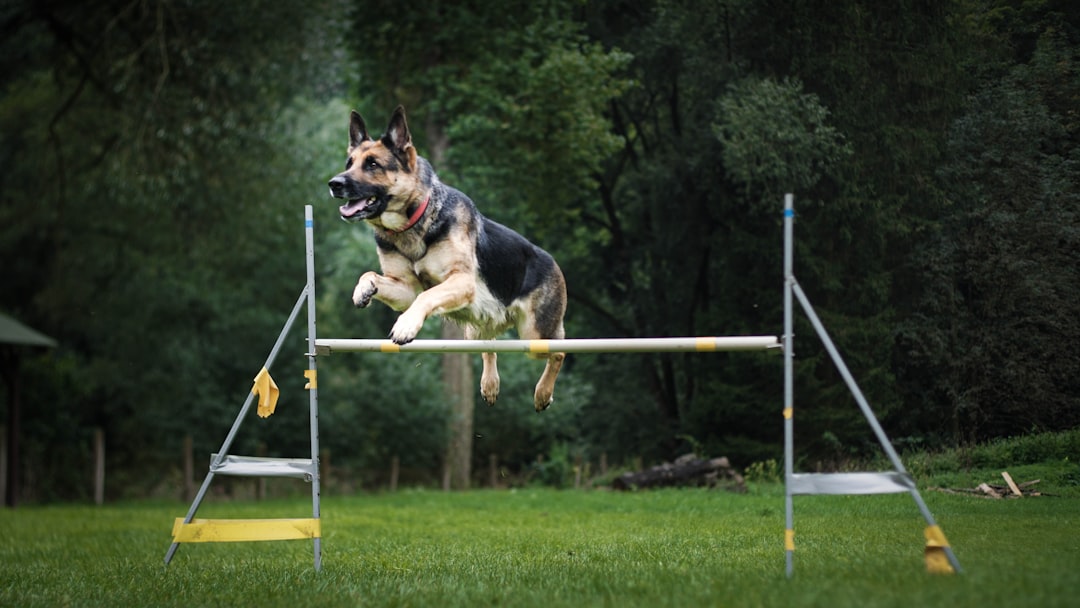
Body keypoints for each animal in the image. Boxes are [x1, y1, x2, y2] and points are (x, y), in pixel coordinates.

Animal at [326, 106, 565, 412]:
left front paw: (405, 325)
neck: (413, 221)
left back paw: (543, 393)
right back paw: (490, 383)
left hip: (535, 335)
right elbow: (371, 275)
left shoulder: (461, 281)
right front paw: (364, 290)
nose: (334, 184)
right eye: (350, 163)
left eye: (373, 165)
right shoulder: (404, 288)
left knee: (558, 353)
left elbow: (425, 297)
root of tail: (553, 263)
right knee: (490, 346)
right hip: (478, 330)